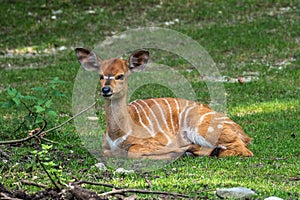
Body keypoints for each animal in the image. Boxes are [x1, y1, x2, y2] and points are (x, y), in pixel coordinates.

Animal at [75, 47, 253, 159]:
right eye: (100, 75)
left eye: (120, 75)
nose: (106, 90)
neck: (119, 134)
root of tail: (241, 131)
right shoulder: (106, 148)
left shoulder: (158, 141)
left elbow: (134, 151)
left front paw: (175, 152)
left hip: (202, 129)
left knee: (244, 149)